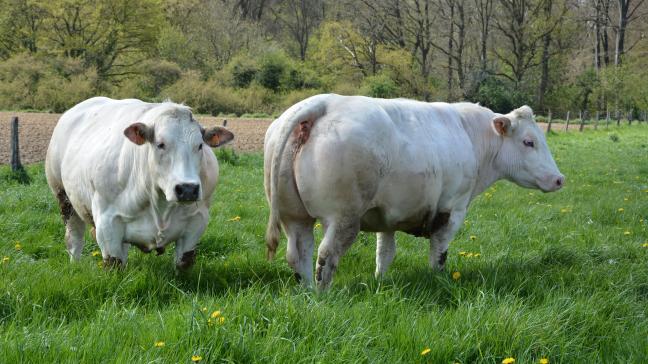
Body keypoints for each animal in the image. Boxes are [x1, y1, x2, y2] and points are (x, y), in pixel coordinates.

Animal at [45, 96, 234, 268]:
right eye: (160, 144)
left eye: (200, 145)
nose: (187, 189)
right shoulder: (107, 223)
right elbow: (114, 264)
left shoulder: (197, 222)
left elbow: (183, 264)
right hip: (64, 198)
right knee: (74, 239)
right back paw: (74, 265)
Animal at [266, 94, 564, 290]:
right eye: (529, 142)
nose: (559, 179)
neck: (470, 135)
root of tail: (323, 103)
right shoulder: (452, 209)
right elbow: (439, 252)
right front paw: (438, 280)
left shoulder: (386, 218)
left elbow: (385, 253)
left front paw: (380, 282)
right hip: (343, 218)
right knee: (326, 256)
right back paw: (322, 294)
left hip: (294, 217)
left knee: (299, 254)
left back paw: (306, 291)